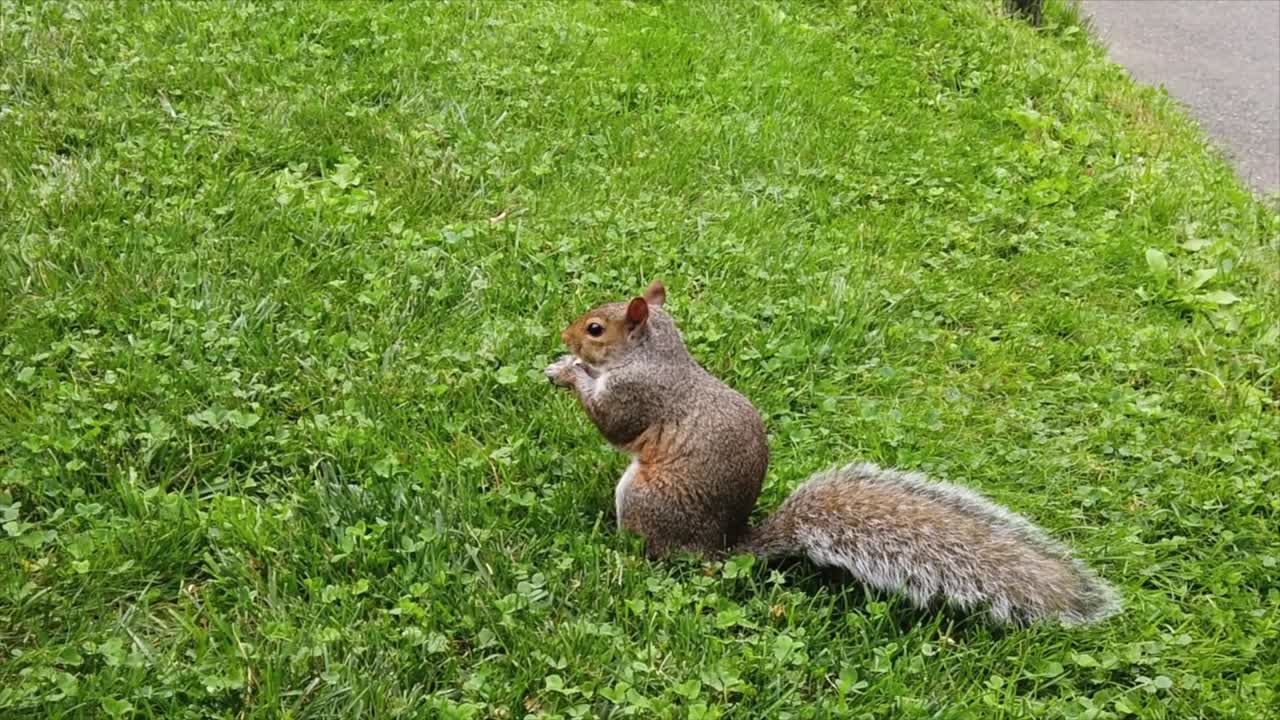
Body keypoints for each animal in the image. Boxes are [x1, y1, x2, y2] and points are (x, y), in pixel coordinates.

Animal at [545, 281, 1120, 627]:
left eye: (596, 328)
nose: (565, 333)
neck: (654, 354)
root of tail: (719, 549)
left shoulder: (638, 396)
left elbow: (611, 421)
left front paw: (570, 371)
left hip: (644, 499)